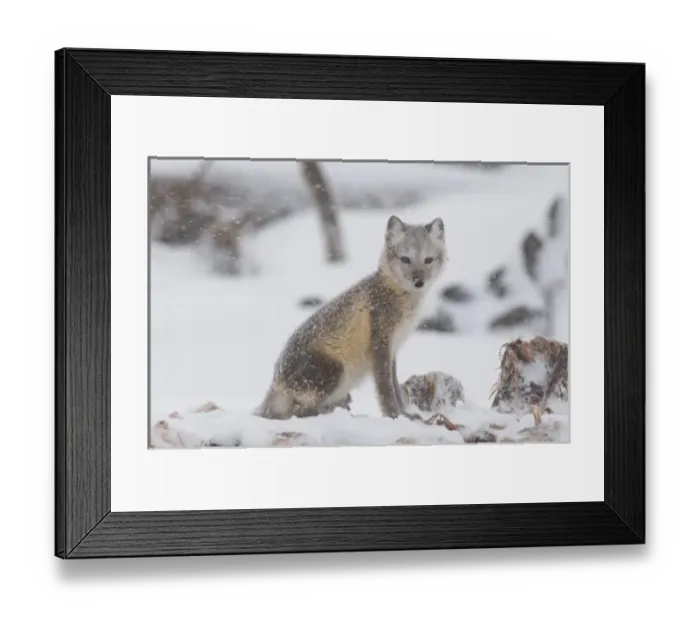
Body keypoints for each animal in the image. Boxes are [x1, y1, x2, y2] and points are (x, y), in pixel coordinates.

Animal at [256, 214, 447, 421]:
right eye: (405, 259)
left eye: (428, 260)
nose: (419, 282)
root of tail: (275, 382)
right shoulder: (380, 345)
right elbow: (386, 389)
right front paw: (395, 416)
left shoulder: (393, 349)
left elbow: (395, 386)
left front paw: (406, 414)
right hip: (335, 370)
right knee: (300, 413)